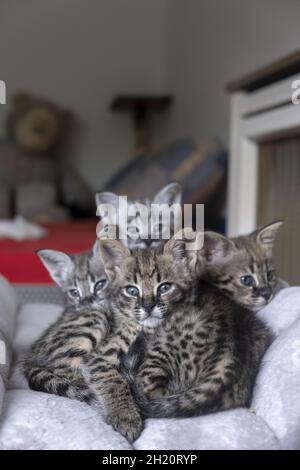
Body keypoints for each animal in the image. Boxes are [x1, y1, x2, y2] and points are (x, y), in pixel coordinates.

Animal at [107, 233, 270, 420]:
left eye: (164, 288)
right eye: (132, 291)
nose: (148, 307)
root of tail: (228, 366)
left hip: (160, 350)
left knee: (150, 392)